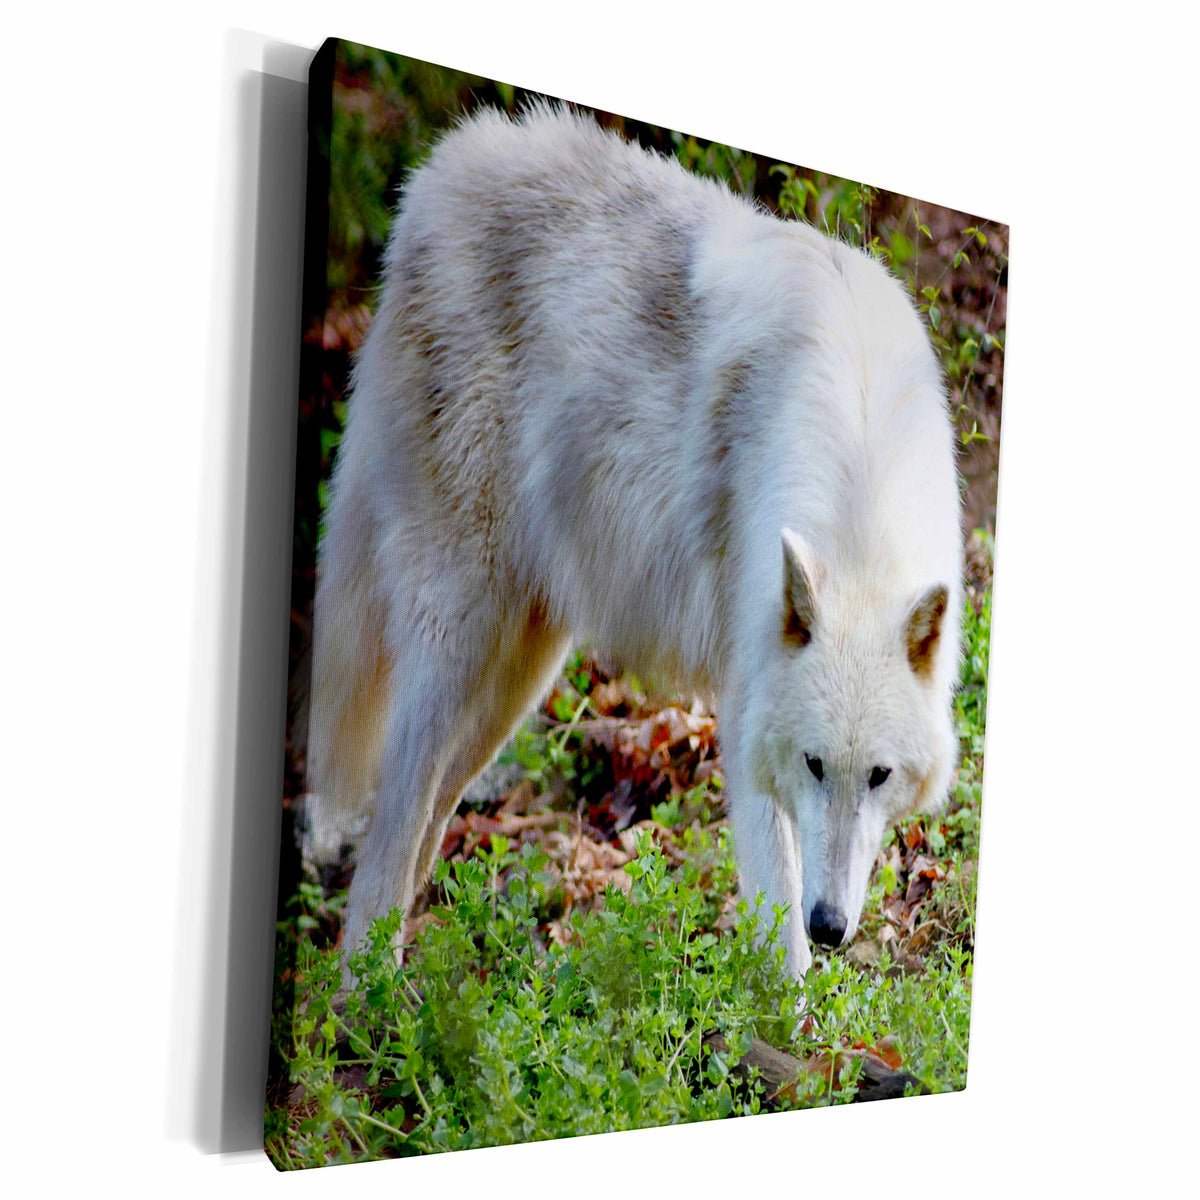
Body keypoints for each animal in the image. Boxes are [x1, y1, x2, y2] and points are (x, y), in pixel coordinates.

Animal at [307, 105, 962, 981]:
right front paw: (792, 1012)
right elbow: (777, 931)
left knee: (429, 818)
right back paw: (364, 994)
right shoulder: (747, 719)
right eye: (816, 765)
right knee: (386, 831)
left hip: (519, 673)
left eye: (880, 775)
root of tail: (437, 171)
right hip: (455, 642)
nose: (830, 926)